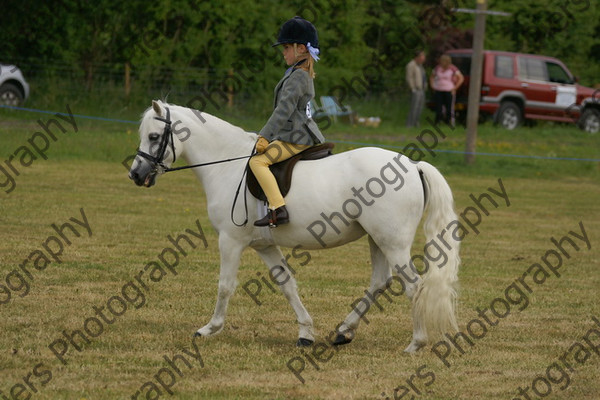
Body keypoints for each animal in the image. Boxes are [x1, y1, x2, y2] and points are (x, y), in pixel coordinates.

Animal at [130, 101, 460, 354]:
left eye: (154, 136)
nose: (136, 174)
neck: (227, 165)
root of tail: (413, 165)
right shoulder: (264, 245)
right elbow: (287, 285)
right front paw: (306, 334)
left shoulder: (231, 240)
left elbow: (225, 286)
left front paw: (210, 328)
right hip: (377, 239)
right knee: (380, 281)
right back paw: (344, 331)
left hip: (393, 242)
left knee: (414, 285)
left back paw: (416, 344)